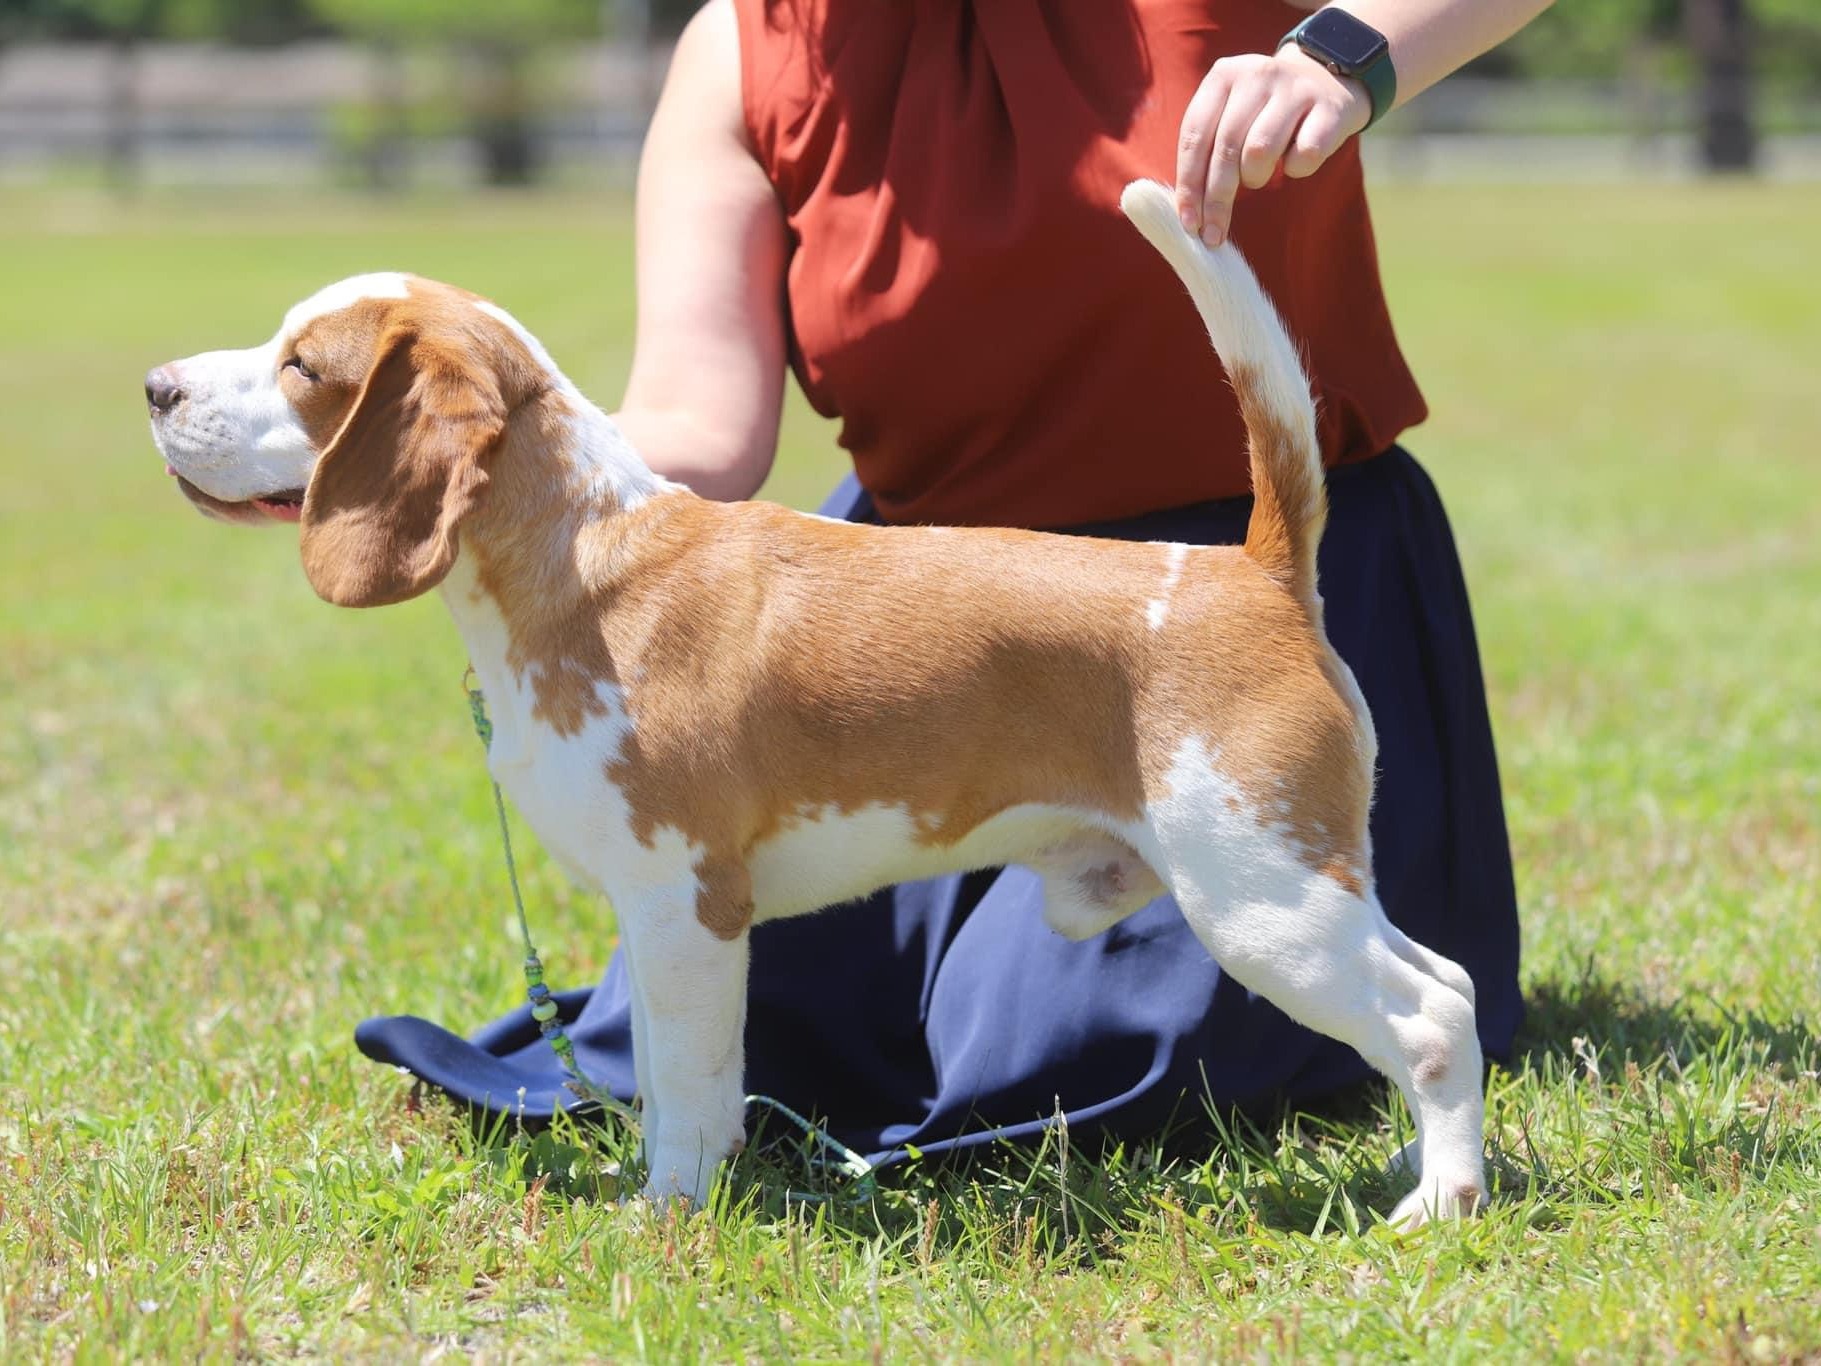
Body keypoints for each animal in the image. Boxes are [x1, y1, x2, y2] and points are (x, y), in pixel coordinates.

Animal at [152, 179, 1493, 1231]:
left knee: (1431, 1011)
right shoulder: (657, 912)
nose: (157, 385)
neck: (583, 558)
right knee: (1453, 982)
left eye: (300, 366)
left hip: (1259, 895)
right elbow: (673, 1077)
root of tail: (1251, 568)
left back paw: (1440, 1203)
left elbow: (691, 1091)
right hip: (1299, 885)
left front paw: (670, 1218)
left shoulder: (688, 903)